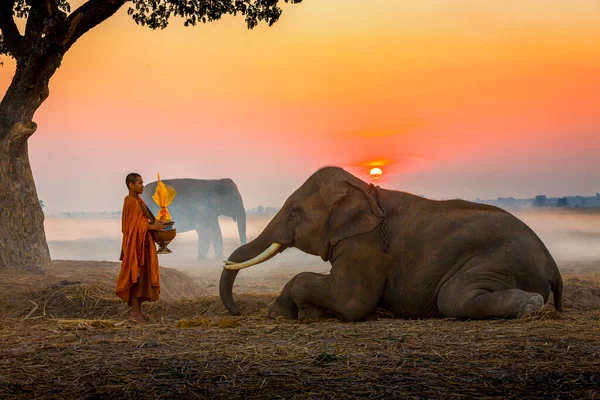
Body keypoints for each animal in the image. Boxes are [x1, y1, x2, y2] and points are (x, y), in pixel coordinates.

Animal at [220, 166, 564, 322]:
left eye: (295, 212)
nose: (236, 311)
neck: (363, 188)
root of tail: (553, 266)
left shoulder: (366, 245)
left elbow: (352, 301)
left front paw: (306, 313)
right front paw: (278, 312)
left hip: (499, 261)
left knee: (452, 297)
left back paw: (531, 305)